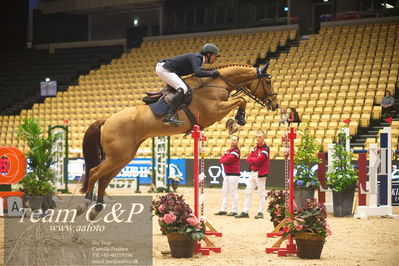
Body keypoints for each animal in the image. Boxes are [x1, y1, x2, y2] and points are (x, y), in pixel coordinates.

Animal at [76, 63, 280, 219]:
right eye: (268, 81)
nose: (276, 105)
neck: (217, 84)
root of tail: (107, 120)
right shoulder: (214, 111)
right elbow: (240, 101)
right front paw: (236, 123)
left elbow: (240, 100)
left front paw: (235, 122)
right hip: (116, 157)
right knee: (94, 173)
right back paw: (84, 204)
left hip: (123, 157)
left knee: (103, 180)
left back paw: (96, 209)